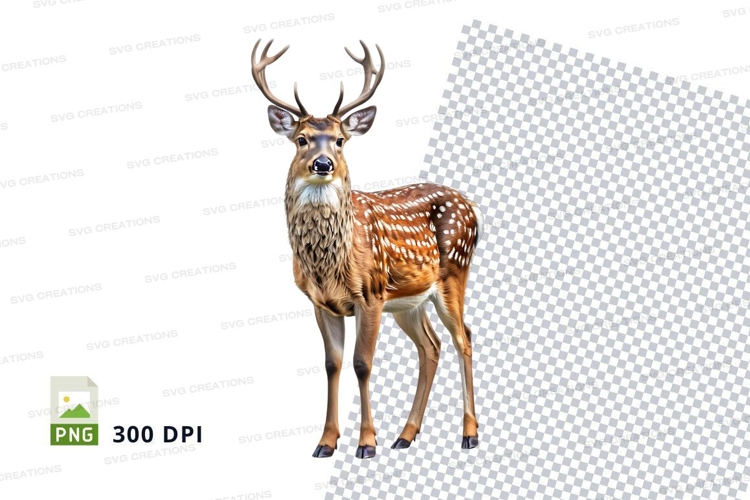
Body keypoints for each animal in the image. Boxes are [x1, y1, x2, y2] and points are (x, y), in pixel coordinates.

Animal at [252, 39, 482, 459]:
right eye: (301, 139)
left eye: (341, 140)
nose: (323, 163)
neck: (329, 262)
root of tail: (473, 206)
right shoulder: (321, 302)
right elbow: (332, 363)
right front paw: (326, 442)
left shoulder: (371, 294)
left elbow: (362, 363)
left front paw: (367, 442)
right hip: (409, 301)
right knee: (431, 346)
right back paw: (405, 435)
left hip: (454, 273)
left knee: (464, 338)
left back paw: (469, 433)